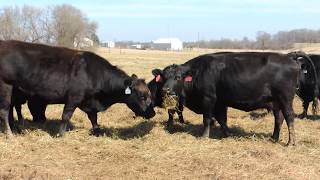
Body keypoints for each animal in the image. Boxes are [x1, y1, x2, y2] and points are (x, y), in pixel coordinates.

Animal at [0, 40, 155, 136]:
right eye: (142, 96)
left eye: (149, 94)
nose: (152, 113)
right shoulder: (73, 97)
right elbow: (66, 116)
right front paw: (60, 134)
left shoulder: (89, 102)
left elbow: (93, 117)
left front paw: (97, 131)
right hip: (6, 87)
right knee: (4, 111)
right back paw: (9, 133)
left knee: (11, 110)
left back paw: (15, 128)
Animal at [156, 51, 316, 145]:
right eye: (163, 77)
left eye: (177, 77)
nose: (165, 90)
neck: (198, 72)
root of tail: (288, 57)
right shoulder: (220, 102)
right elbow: (222, 119)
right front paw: (228, 134)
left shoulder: (208, 99)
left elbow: (207, 119)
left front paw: (204, 136)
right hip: (275, 102)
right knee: (279, 118)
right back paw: (274, 138)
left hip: (285, 99)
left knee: (289, 117)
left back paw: (291, 142)